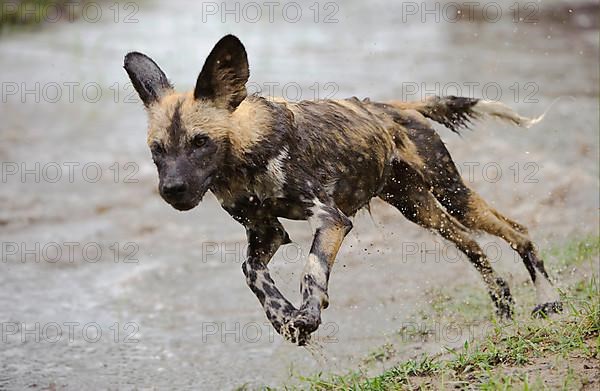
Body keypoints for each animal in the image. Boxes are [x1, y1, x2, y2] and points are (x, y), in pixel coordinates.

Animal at [125, 34, 564, 346]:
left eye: (200, 142)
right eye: (157, 150)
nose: (172, 189)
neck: (244, 156)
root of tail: (395, 108)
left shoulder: (331, 219)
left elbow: (311, 270)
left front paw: (306, 315)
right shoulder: (266, 232)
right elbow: (252, 272)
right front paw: (282, 317)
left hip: (452, 193)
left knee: (517, 232)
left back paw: (548, 299)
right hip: (418, 208)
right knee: (472, 244)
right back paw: (504, 309)